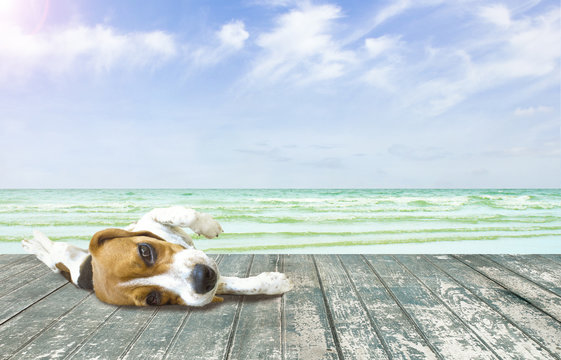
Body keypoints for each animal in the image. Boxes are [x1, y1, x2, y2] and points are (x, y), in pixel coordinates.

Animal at [21, 207, 294, 306]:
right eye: (153, 299)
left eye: (145, 250)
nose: (203, 278)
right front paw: (276, 283)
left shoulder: (149, 218)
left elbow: (180, 213)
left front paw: (208, 226)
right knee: (51, 257)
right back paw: (34, 244)